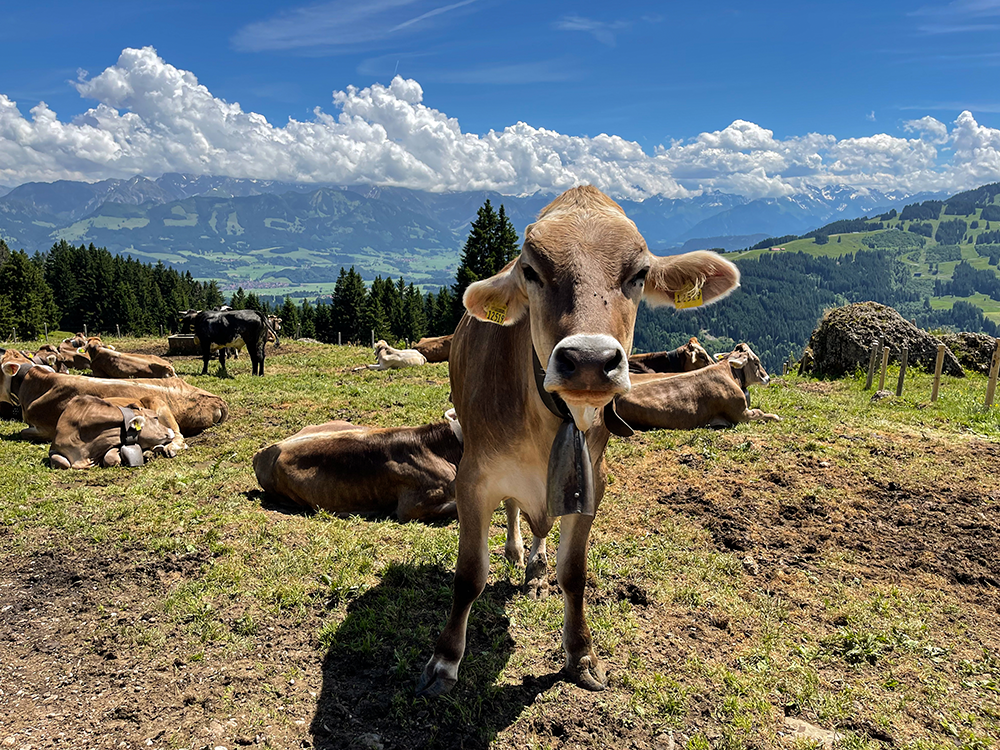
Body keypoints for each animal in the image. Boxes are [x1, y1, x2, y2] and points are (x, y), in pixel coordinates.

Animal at [416, 184, 744, 700]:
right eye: (530, 270)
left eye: (639, 274)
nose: (590, 360)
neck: (552, 421)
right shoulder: (472, 476)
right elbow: (470, 574)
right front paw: (445, 661)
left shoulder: (593, 480)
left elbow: (575, 573)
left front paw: (581, 654)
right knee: (515, 510)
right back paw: (516, 552)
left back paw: (535, 564)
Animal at [616, 344, 780, 432]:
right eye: (757, 362)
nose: (768, 378)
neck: (729, 373)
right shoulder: (740, 414)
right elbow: (761, 413)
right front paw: (776, 417)